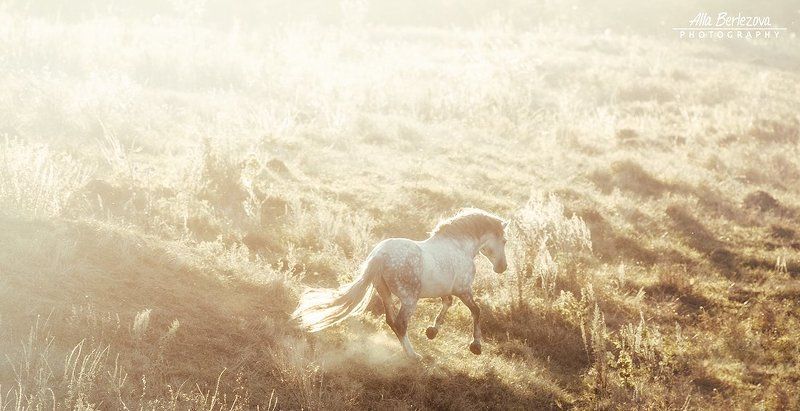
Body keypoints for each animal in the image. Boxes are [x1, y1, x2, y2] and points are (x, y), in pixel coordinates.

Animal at [292, 208, 508, 360]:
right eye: (505, 241)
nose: (503, 267)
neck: (459, 246)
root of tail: (380, 255)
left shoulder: (447, 289)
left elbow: (447, 303)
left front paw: (432, 331)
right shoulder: (463, 290)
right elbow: (476, 311)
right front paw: (476, 346)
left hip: (385, 293)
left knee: (391, 321)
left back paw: (407, 351)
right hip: (410, 299)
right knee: (401, 323)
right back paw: (413, 356)